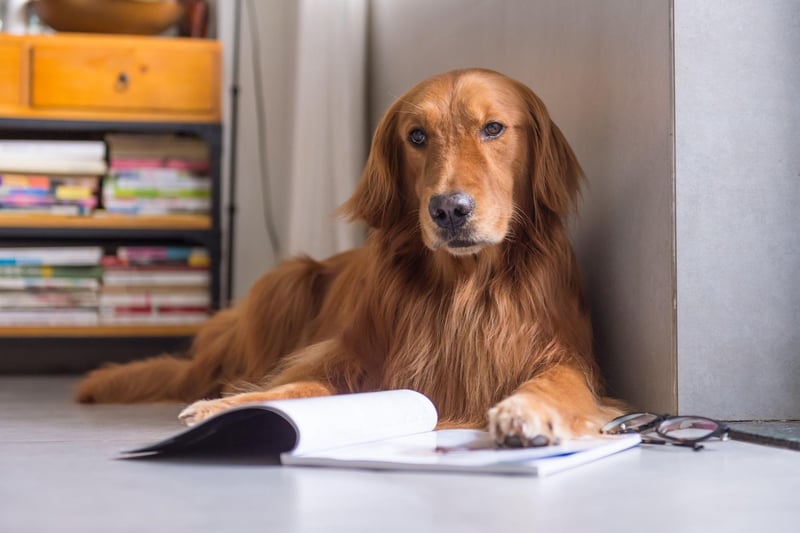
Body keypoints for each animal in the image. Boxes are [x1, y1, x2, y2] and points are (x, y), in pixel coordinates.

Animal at [75, 68, 620, 446]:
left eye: (493, 128)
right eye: (416, 136)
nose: (449, 209)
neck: (463, 284)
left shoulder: (567, 356)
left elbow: (558, 384)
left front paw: (525, 412)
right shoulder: (355, 359)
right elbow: (297, 388)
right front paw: (229, 409)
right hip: (287, 279)